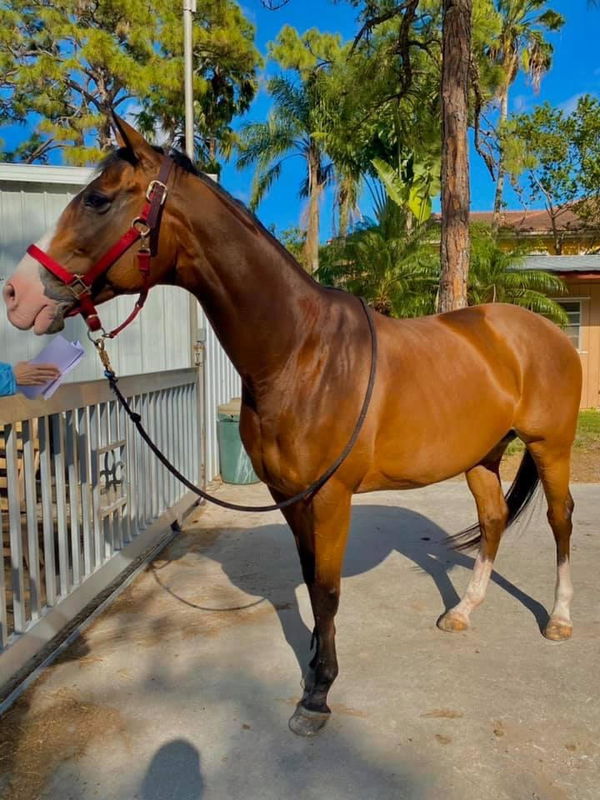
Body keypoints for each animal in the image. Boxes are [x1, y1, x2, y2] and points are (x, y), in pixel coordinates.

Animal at [4, 116, 582, 736]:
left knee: (560, 520)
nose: (18, 294)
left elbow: (326, 591)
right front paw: (311, 672)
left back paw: (560, 619)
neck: (300, 352)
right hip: (482, 454)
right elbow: (309, 580)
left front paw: (318, 694)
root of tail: (542, 332)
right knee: (494, 520)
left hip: (551, 448)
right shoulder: (291, 497)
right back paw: (463, 611)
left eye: (98, 199)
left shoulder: (329, 498)